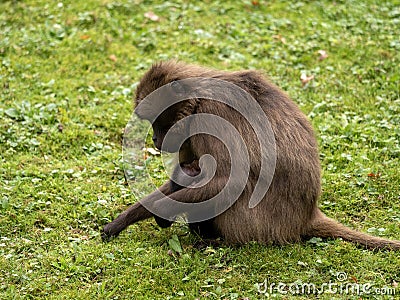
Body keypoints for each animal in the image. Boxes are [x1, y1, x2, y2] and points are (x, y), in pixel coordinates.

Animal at [104, 61, 400, 251]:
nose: (155, 140)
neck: (197, 99)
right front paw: (120, 222)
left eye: (158, 123)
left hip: (259, 225)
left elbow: (227, 181)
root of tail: (307, 216)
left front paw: (162, 214)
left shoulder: (211, 118)